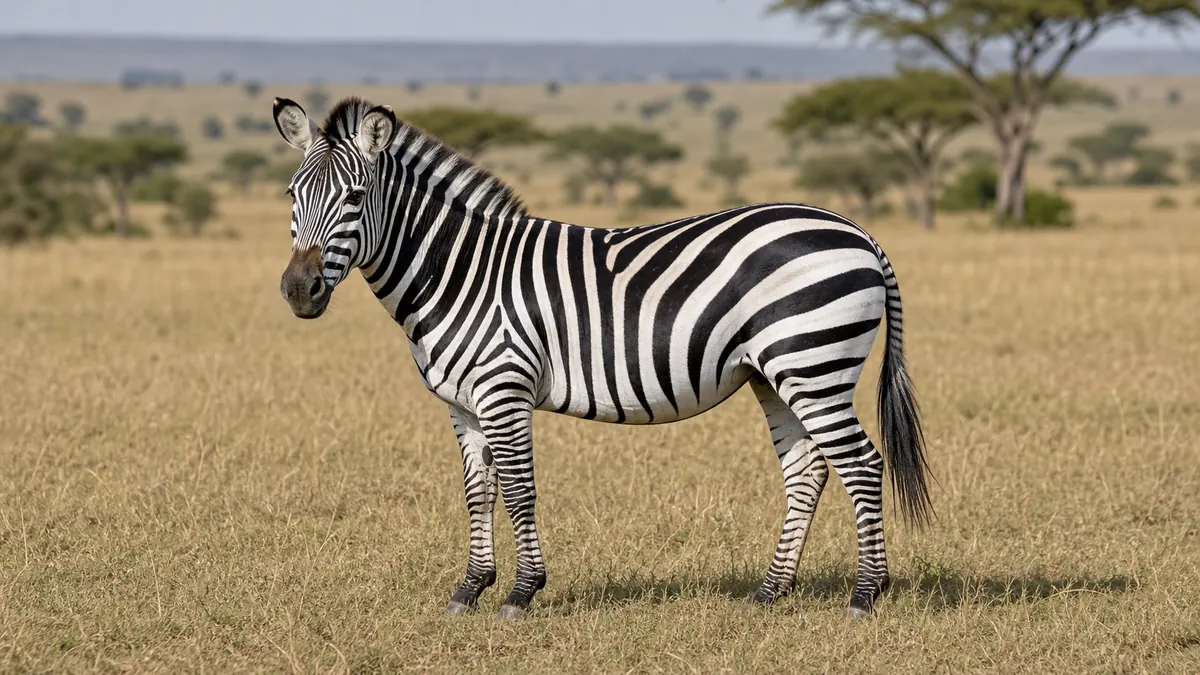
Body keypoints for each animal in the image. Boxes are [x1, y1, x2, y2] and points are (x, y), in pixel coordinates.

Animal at [273, 96, 934, 620]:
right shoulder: (463, 403)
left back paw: (865, 596)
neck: (459, 272)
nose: (299, 290)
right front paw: (469, 590)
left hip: (813, 363)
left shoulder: (505, 388)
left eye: (355, 196)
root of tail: (858, 231)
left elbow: (520, 490)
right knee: (807, 470)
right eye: (291, 195)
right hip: (774, 374)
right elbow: (477, 492)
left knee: (862, 465)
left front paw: (521, 594)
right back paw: (770, 592)